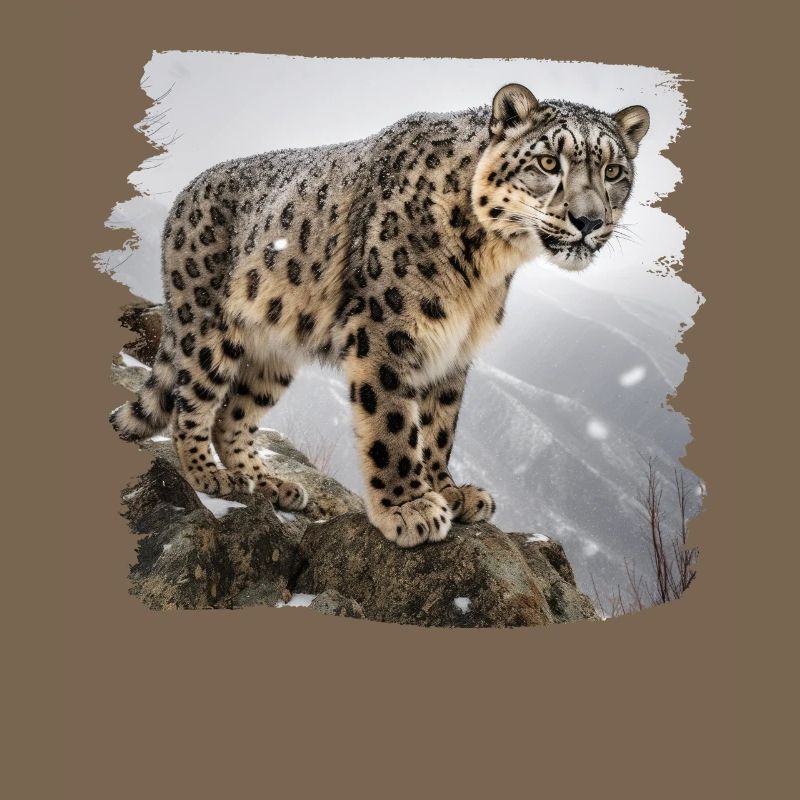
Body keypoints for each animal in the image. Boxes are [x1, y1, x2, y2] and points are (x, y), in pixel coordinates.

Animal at [111, 83, 649, 548]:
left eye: (614, 172)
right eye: (547, 161)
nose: (589, 221)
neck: (487, 267)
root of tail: (185, 193)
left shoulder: (454, 348)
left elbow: (440, 426)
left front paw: (450, 491)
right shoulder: (387, 330)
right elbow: (393, 421)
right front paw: (410, 508)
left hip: (274, 355)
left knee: (234, 417)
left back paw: (267, 483)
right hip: (207, 325)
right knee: (192, 402)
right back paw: (211, 476)